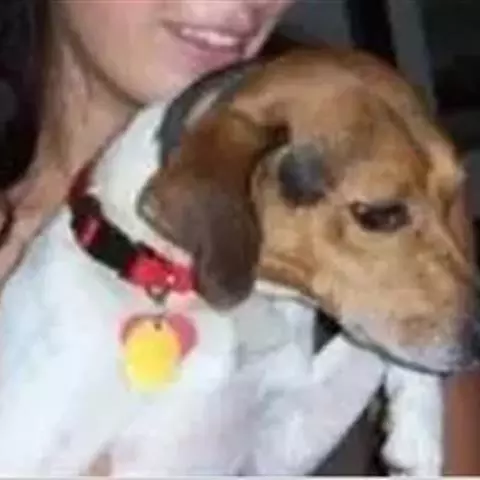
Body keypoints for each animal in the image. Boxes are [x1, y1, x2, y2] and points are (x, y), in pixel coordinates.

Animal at [0, 46, 474, 476]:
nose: (478, 342)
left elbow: (371, 347)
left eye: (455, 195)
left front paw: (419, 427)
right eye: (380, 215)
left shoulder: (280, 441)